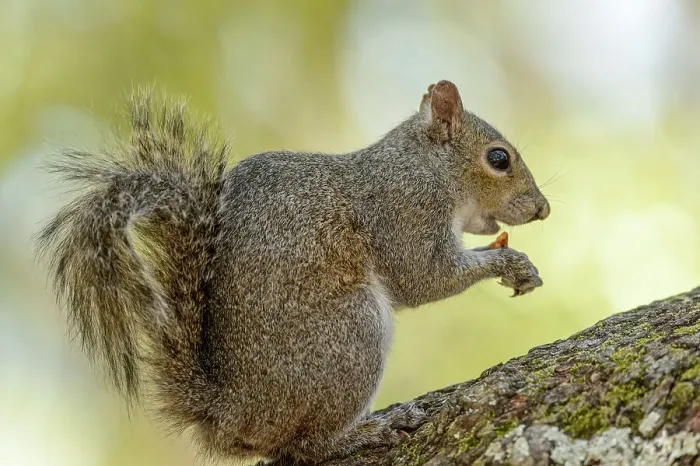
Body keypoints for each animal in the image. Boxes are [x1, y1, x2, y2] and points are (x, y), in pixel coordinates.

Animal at [37, 80, 549, 464]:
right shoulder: (404, 209)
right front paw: (511, 263)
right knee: (303, 447)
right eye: (499, 158)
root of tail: (230, 413)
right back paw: (364, 431)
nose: (542, 209)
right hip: (353, 335)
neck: (424, 167)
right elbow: (424, 277)